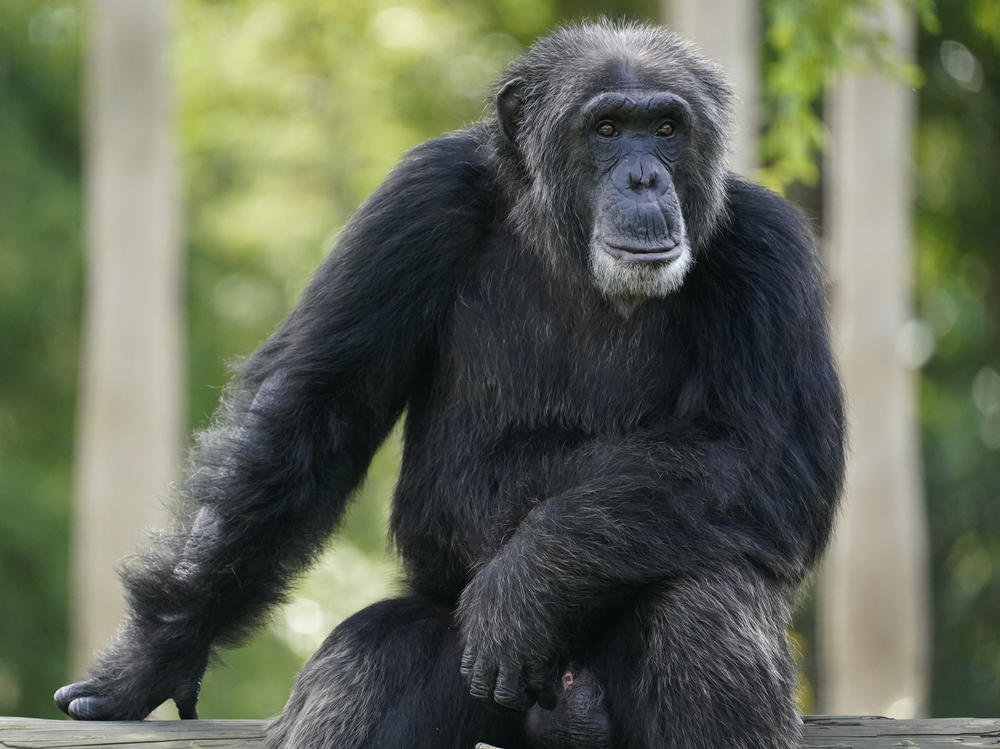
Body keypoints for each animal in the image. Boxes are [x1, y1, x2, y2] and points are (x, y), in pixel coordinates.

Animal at [54, 17, 844, 748]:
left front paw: (526, 581)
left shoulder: (768, 249)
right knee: (370, 669)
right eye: (608, 128)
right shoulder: (416, 199)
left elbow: (773, 456)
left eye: (668, 128)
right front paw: (155, 656)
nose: (645, 176)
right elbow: (309, 407)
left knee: (702, 611)